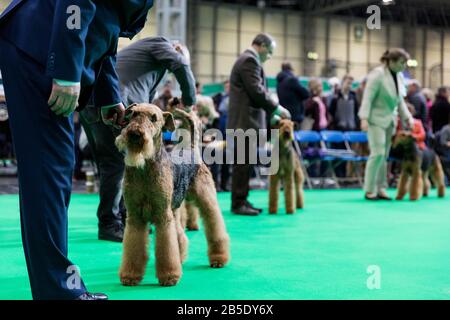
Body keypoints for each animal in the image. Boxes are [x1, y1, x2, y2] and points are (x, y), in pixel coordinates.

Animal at [116, 104, 230, 286]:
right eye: (133, 114)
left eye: (153, 118)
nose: (134, 134)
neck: (144, 169)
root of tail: (192, 149)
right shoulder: (135, 217)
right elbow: (134, 248)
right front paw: (130, 276)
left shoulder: (162, 216)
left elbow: (166, 248)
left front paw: (169, 276)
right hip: (174, 210)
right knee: (180, 236)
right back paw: (181, 258)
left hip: (205, 199)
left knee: (214, 225)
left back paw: (218, 259)